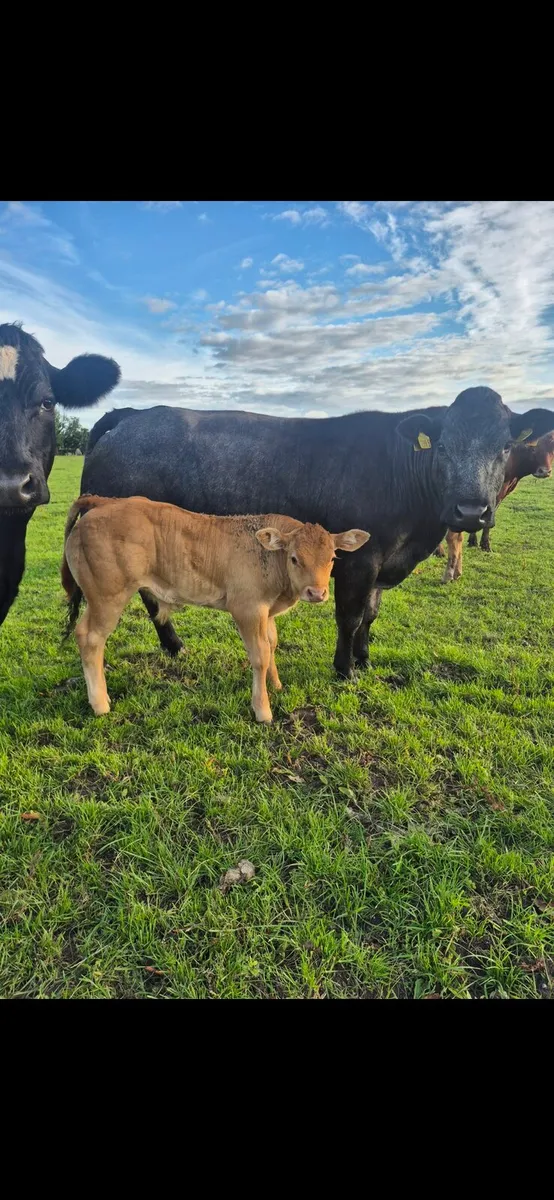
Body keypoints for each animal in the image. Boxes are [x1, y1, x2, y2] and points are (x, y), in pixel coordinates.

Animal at [61, 495, 369, 721]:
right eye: (294, 558)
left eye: (332, 558)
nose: (316, 592)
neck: (270, 560)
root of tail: (102, 502)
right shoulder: (247, 608)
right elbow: (259, 655)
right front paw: (262, 709)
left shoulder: (266, 612)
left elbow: (271, 645)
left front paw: (276, 685)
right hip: (108, 596)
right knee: (90, 638)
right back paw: (100, 703)